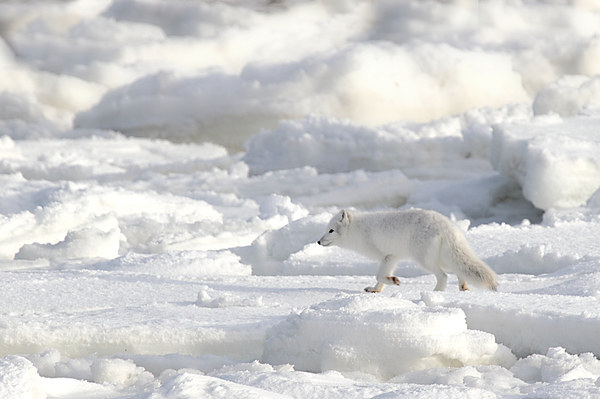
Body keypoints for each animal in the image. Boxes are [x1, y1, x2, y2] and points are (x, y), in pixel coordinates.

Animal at [318, 209, 496, 294]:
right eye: (326, 230)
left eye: (331, 230)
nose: (318, 242)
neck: (358, 231)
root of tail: (448, 226)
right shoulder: (391, 258)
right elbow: (380, 278)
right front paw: (375, 290)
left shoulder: (388, 256)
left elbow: (380, 275)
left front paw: (394, 281)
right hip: (443, 257)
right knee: (459, 270)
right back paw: (463, 287)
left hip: (424, 260)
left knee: (444, 276)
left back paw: (436, 293)